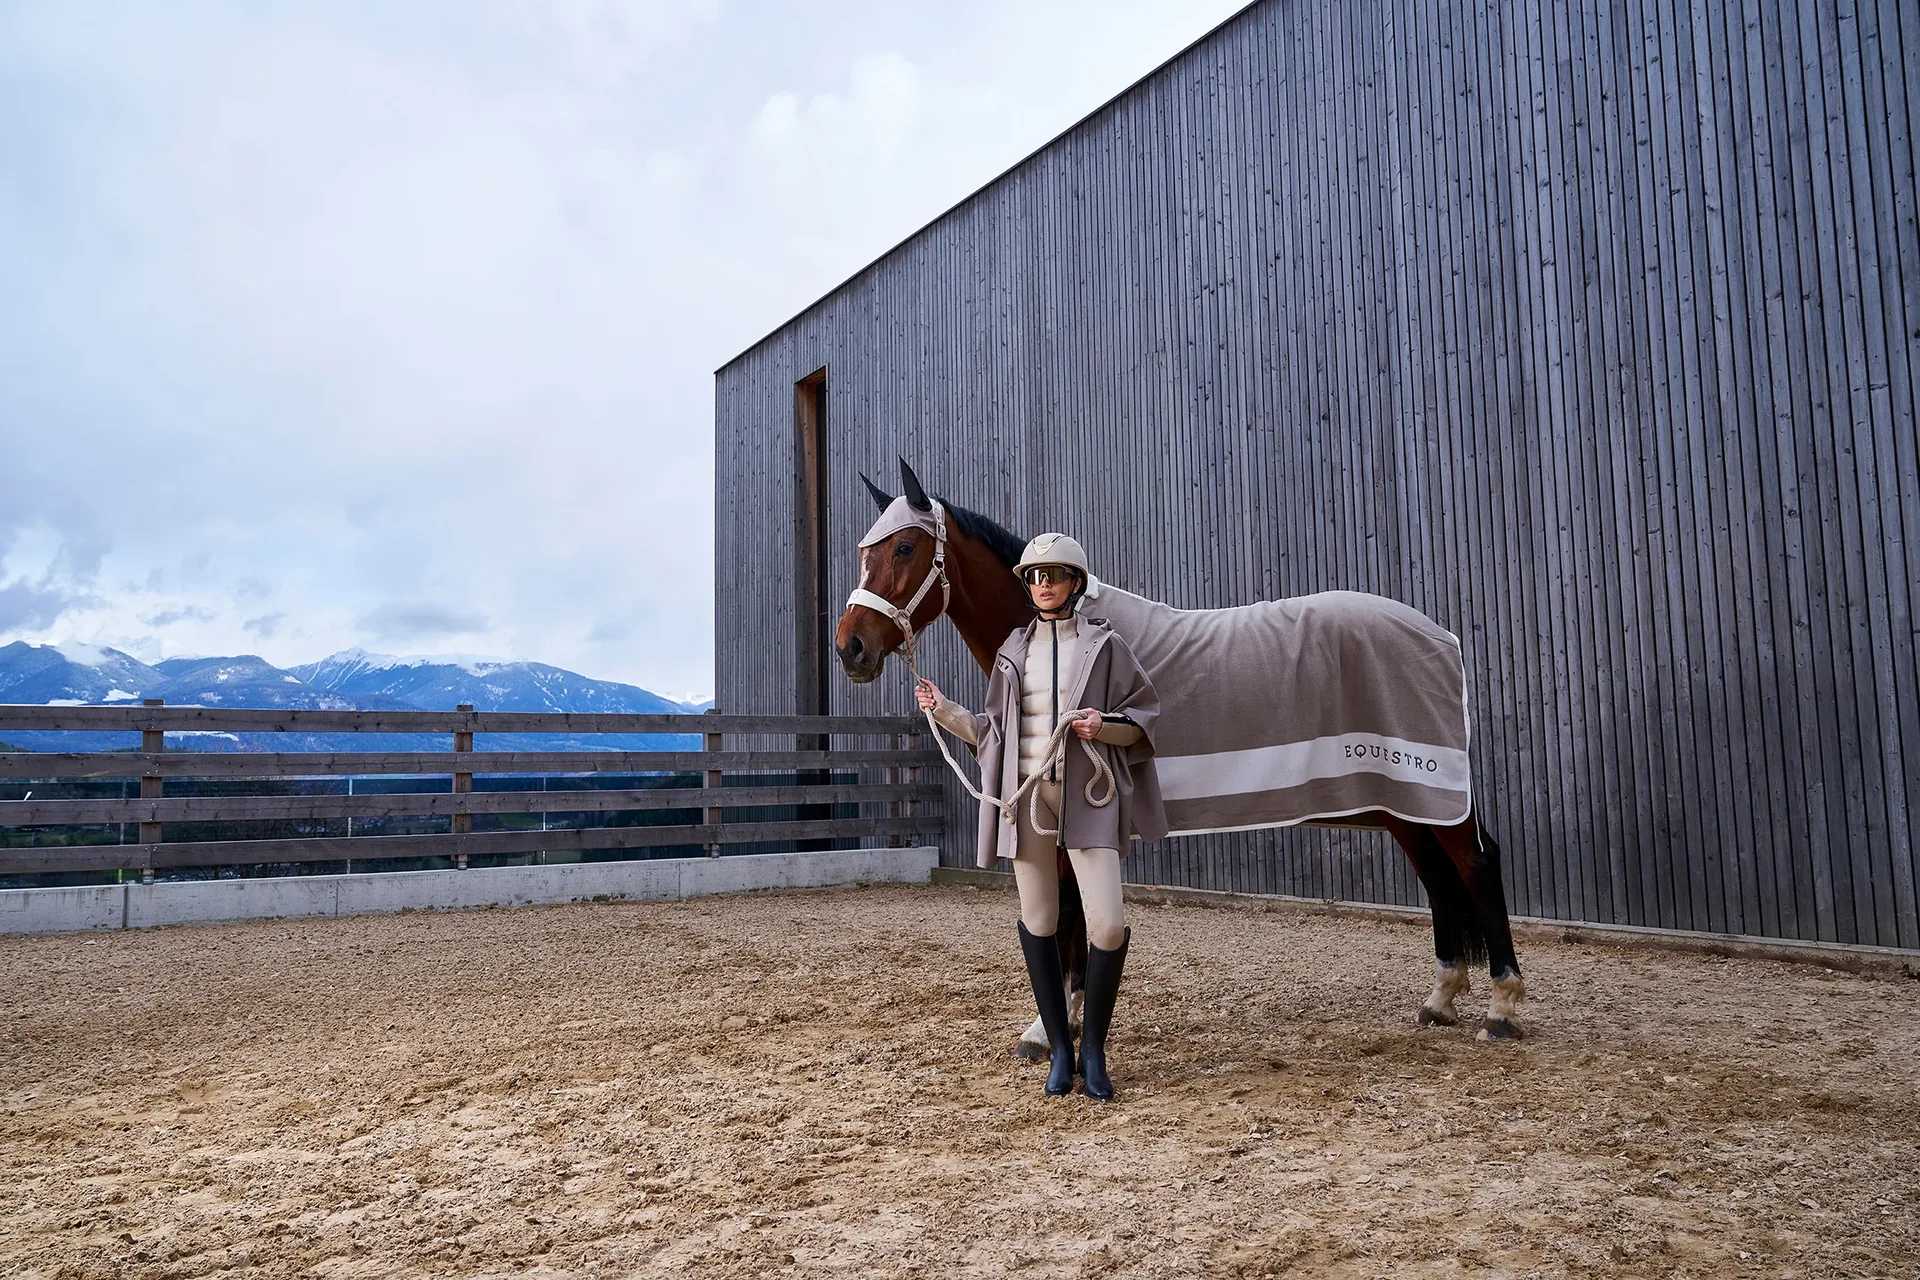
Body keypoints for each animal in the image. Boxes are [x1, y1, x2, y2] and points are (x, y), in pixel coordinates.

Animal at [835, 459, 1526, 1049]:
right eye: (865, 552)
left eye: (904, 548)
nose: (850, 648)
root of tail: (1438, 636)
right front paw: (1067, 1017)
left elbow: (1071, 912)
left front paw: (1052, 1025)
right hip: (1401, 803)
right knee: (1438, 876)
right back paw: (1440, 999)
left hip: (1433, 792)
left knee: (1476, 866)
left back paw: (1501, 1007)